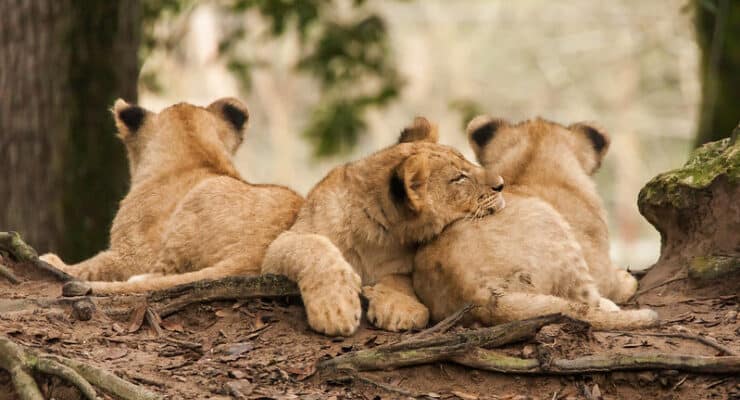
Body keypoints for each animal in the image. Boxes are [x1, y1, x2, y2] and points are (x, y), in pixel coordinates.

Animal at [40, 98, 303, 294]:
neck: (197, 155)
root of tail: (255, 254)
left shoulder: (133, 253)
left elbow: (92, 266)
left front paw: (52, 261)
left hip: (196, 202)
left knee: (163, 275)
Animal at [261, 117, 506, 336]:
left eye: (468, 162)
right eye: (459, 178)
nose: (501, 184)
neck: (374, 235)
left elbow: (399, 278)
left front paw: (400, 308)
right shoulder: (276, 254)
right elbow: (313, 246)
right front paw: (335, 309)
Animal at [412, 117, 657, 329]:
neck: (531, 164)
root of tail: (478, 295)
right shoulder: (600, 263)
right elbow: (614, 284)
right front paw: (626, 280)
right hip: (555, 229)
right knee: (585, 300)